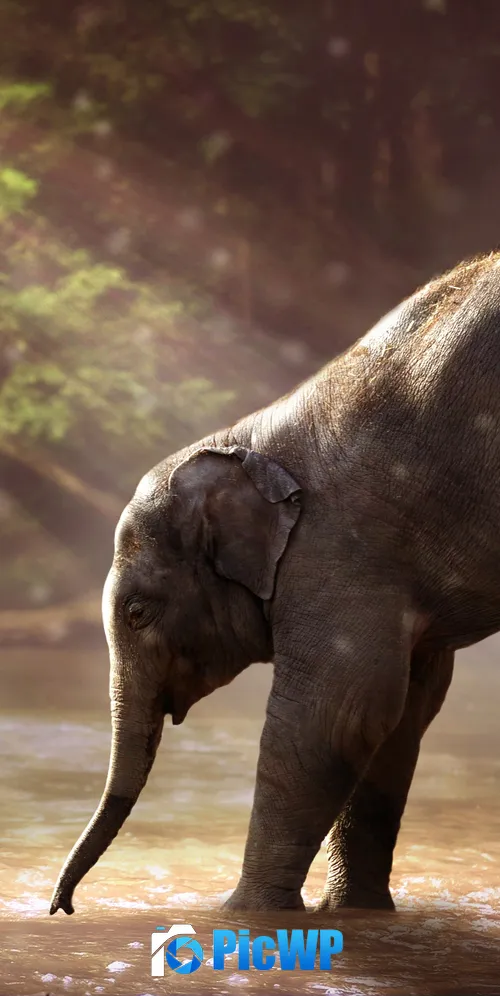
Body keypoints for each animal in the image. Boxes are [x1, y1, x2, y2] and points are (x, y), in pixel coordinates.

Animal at [51, 251, 500, 916]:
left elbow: (339, 712)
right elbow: (401, 715)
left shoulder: (342, 550)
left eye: (136, 612)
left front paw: (243, 915)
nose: (62, 906)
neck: (251, 439)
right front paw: (355, 913)